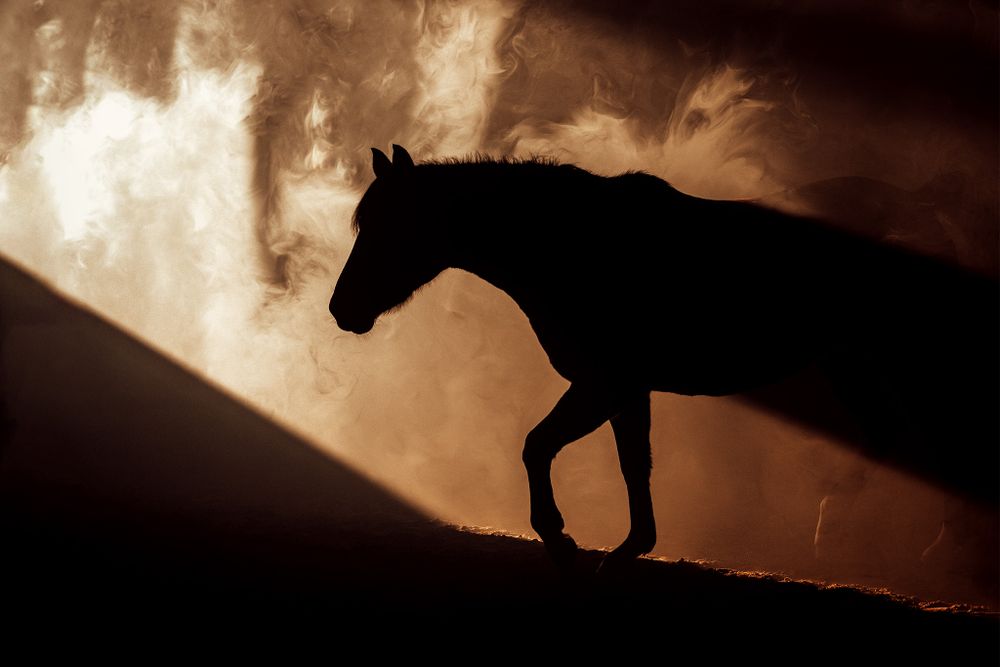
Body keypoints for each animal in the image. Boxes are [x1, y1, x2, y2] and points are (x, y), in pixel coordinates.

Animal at [330, 144, 998, 569]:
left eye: (389, 227)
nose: (342, 310)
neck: (569, 242)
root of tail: (923, 208)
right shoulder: (625, 390)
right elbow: (633, 464)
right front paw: (629, 548)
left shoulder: (604, 383)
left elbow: (538, 446)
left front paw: (561, 538)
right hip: (851, 363)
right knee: (887, 437)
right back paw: (833, 527)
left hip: (913, 365)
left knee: (948, 448)